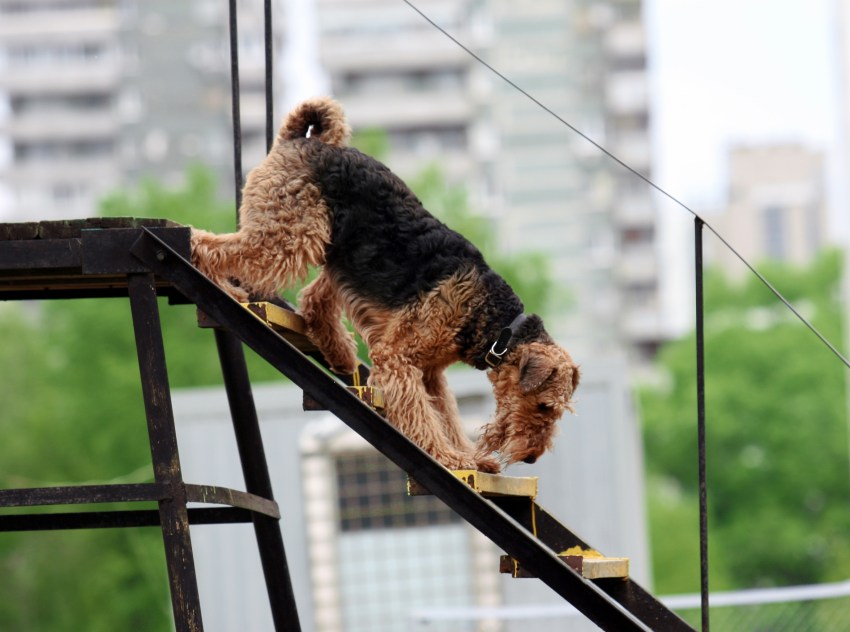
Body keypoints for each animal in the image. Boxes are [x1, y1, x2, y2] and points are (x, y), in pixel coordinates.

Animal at [191, 97, 576, 474]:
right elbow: (422, 415)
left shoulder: (430, 372)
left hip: (339, 254)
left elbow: (445, 414)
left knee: (313, 298)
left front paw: (469, 456)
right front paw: (448, 457)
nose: (531, 457)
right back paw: (224, 285)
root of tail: (301, 140)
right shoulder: (398, 358)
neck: (495, 325)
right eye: (545, 406)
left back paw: (339, 353)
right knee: (211, 245)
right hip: (289, 236)